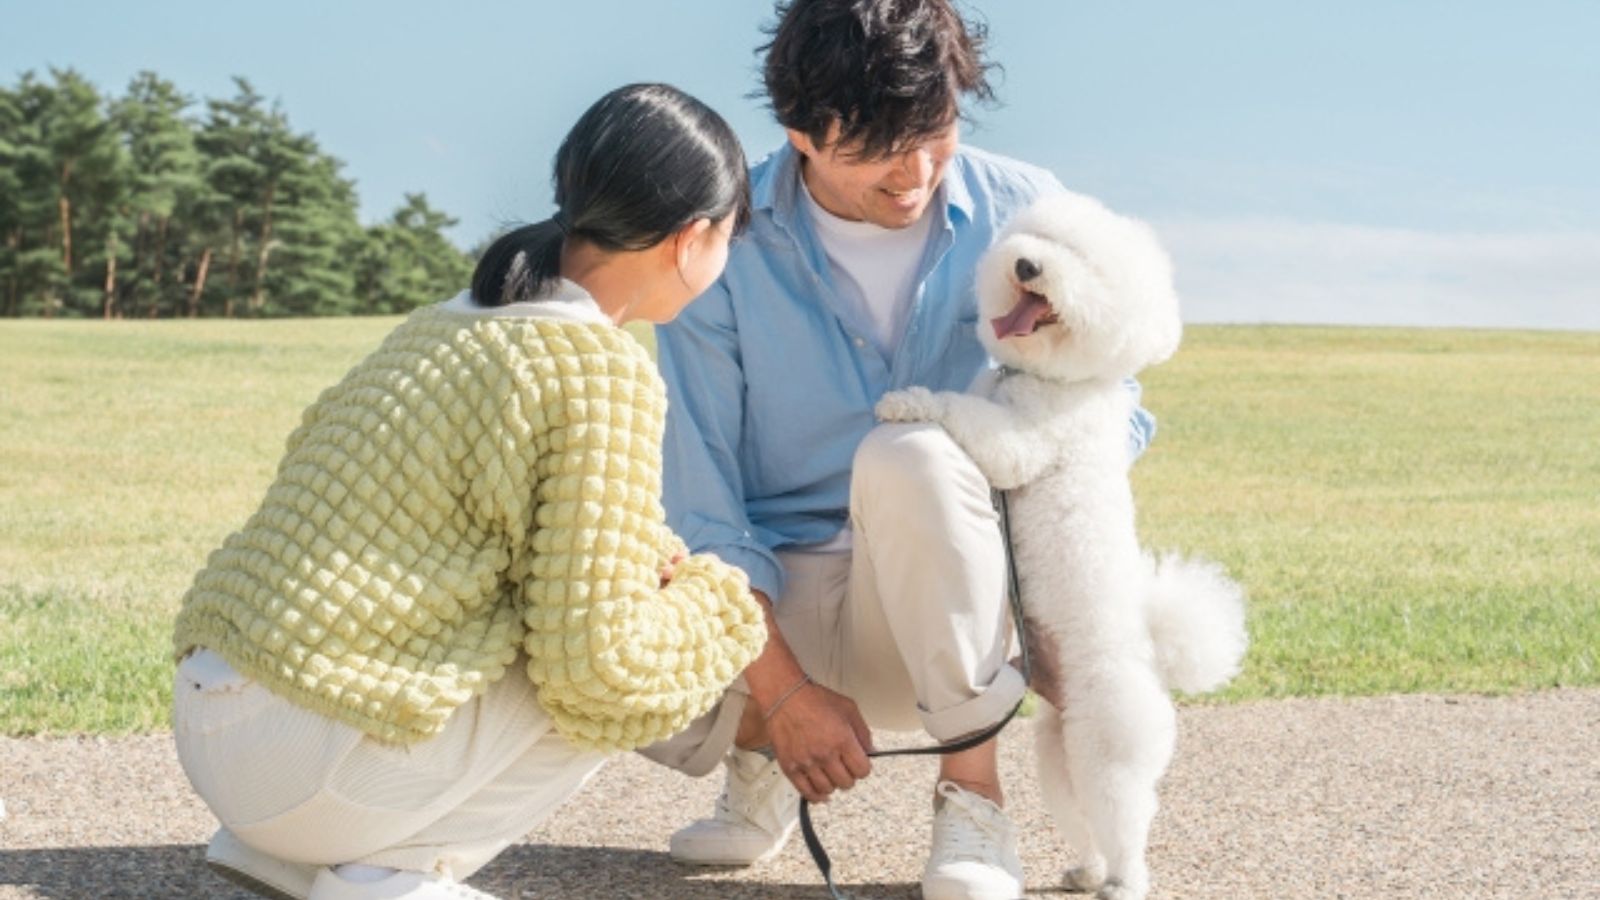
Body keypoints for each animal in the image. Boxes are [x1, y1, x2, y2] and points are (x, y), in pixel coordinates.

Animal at [876, 190, 1248, 896]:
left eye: (1085, 265)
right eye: (1045, 239)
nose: (1027, 265)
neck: (1052, 381)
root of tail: (1156, 665)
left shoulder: (1019, 444)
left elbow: (963, 415)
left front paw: (906, 400)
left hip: (1109, 751)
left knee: (1128, 823)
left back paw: (1124, 881)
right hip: (1056, 751)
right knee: (1081, 819)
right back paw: (1084, 870)